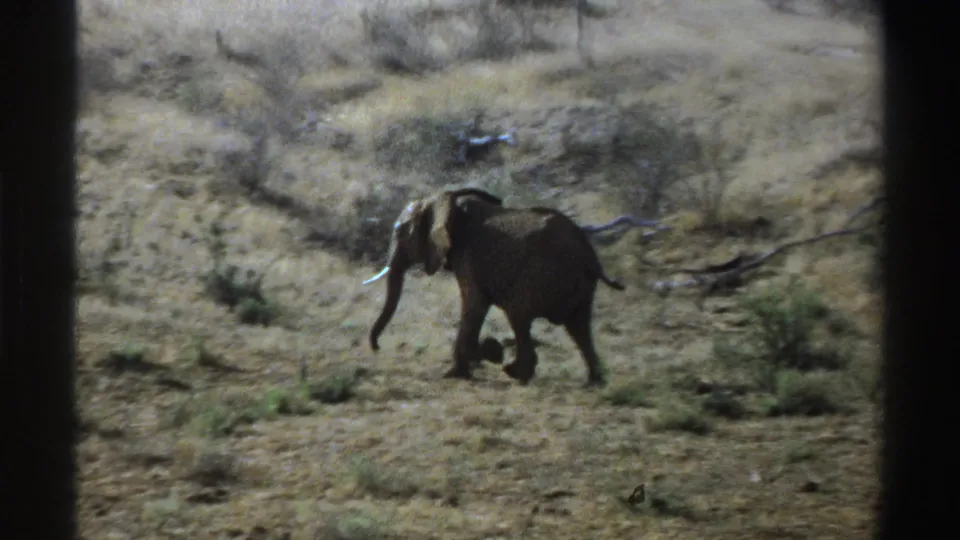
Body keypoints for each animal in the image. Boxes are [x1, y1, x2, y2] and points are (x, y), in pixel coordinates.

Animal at [362, 187, 626, 387]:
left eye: (400, 232)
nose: (377, 348)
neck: (447, 203)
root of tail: (590, 254)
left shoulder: (468, 255)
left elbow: (474, 305)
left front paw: (459, 371)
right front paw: (482, 356)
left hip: (545, 273)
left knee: (519, 314)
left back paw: (515, 373)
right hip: (579, 285)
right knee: (579, 328)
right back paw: (594, 382)